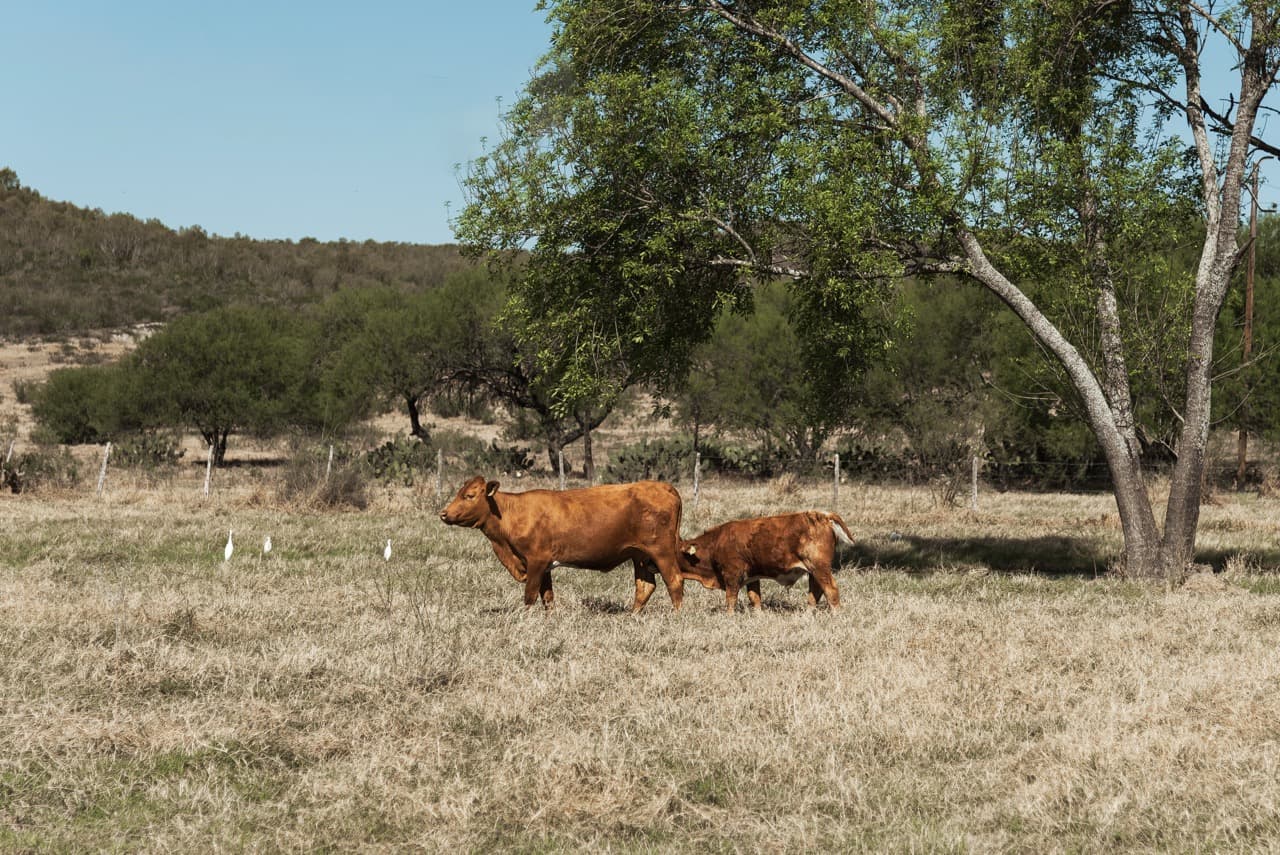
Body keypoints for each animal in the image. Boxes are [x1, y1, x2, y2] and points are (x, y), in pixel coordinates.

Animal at [439, 475, 685, 611]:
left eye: (470, 495)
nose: (443, 513)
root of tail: (664, 487)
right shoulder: (545, 566)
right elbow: (547, 597)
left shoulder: (536, 560)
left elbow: (530, 596)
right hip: (639, 555)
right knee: (644, 587)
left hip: (661, 551)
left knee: (674, 581)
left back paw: (676, 616)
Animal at [677, 511, 855, 612]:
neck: (716, 542)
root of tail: (822, 516)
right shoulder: (752, 577)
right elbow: (754, 598)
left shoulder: (732, 575)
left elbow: (731, 599)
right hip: (813, 571)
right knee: (815, 592)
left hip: (819, 567)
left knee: (831, 590)